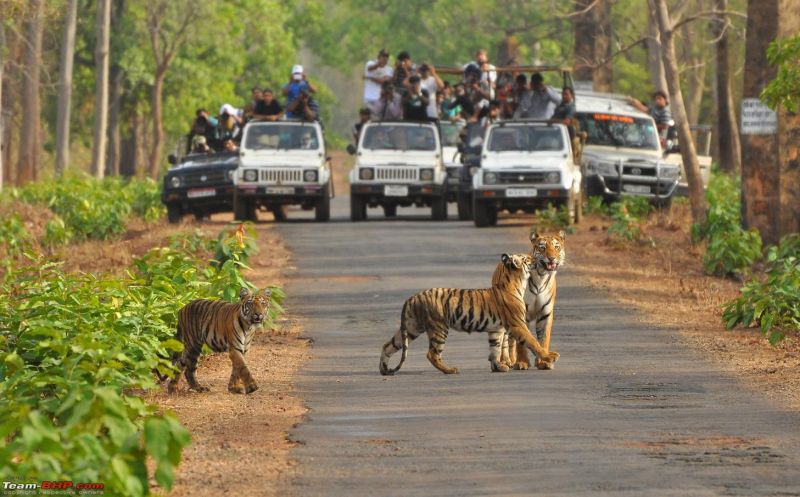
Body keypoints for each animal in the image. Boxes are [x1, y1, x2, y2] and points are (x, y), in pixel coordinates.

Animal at [382, 254, 564, 374]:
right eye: (527, 258)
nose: (537, 258)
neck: (516, 282)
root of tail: (413, 297)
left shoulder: (496, 329)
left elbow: (495, 348)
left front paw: (498, 367)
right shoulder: (517, 324)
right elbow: (533, 342)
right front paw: (549, 357)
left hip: (412, 327)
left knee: (388, 345)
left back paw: (383, 369)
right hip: (438, 327)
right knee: (432, 354)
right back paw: (450, 370)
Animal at [504, 231, 564, 370]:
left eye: (557, 247)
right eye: (542, 247)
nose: (552, 258)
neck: (541, 276)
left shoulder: (545, 314)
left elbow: (543, 338)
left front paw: (544, 362)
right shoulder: (521, 314)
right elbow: (522, 341)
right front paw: (522, 362)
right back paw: (510, 361)